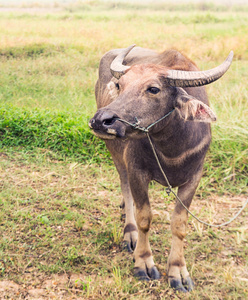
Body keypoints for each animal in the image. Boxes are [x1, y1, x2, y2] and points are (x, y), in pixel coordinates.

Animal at [89, 45, 232, 292]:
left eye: (153, 89)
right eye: (120, 85)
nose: (101, 120)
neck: (172, 148)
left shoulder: (194, 178)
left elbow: (179, 224)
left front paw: (178, 271)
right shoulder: (137, 170)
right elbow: (144, 217)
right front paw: (143, 263)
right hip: (115, 152)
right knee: (125, 187)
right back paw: (130, 232)